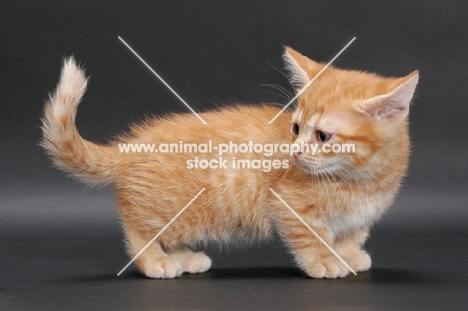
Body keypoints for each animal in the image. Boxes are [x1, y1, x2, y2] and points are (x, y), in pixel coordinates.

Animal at [42, 47, 418, 280]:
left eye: (323, 136)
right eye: (296, 129)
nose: (294, 152)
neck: (362, 179)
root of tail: (131, 146)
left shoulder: (362, 216)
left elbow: (352, 234)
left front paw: (348, 255)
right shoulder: (289, 205)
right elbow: (312, 235)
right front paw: (324, 261)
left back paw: (184, 257)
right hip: (168, 209)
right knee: (139, 229)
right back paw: (156, 261)